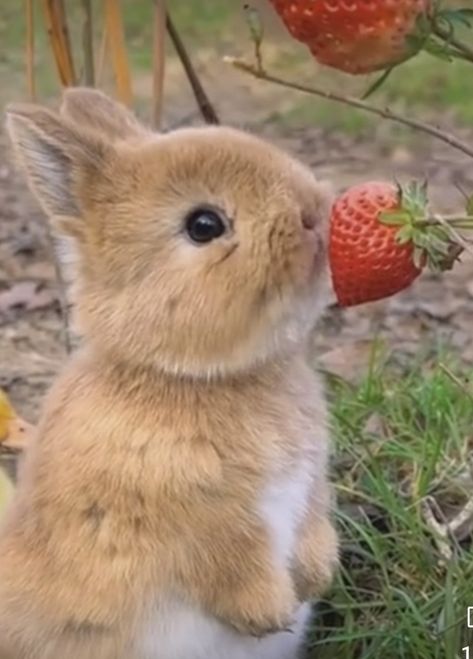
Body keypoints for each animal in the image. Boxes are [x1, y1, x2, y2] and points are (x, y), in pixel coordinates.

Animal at [1, 89, 338, 659]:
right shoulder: (194, 523)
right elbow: (229, 560)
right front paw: (270, 612)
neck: (195, 376)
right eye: (204, 225)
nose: (315, 213)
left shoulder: (310, 483)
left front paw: (317, 576)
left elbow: (314, 521)